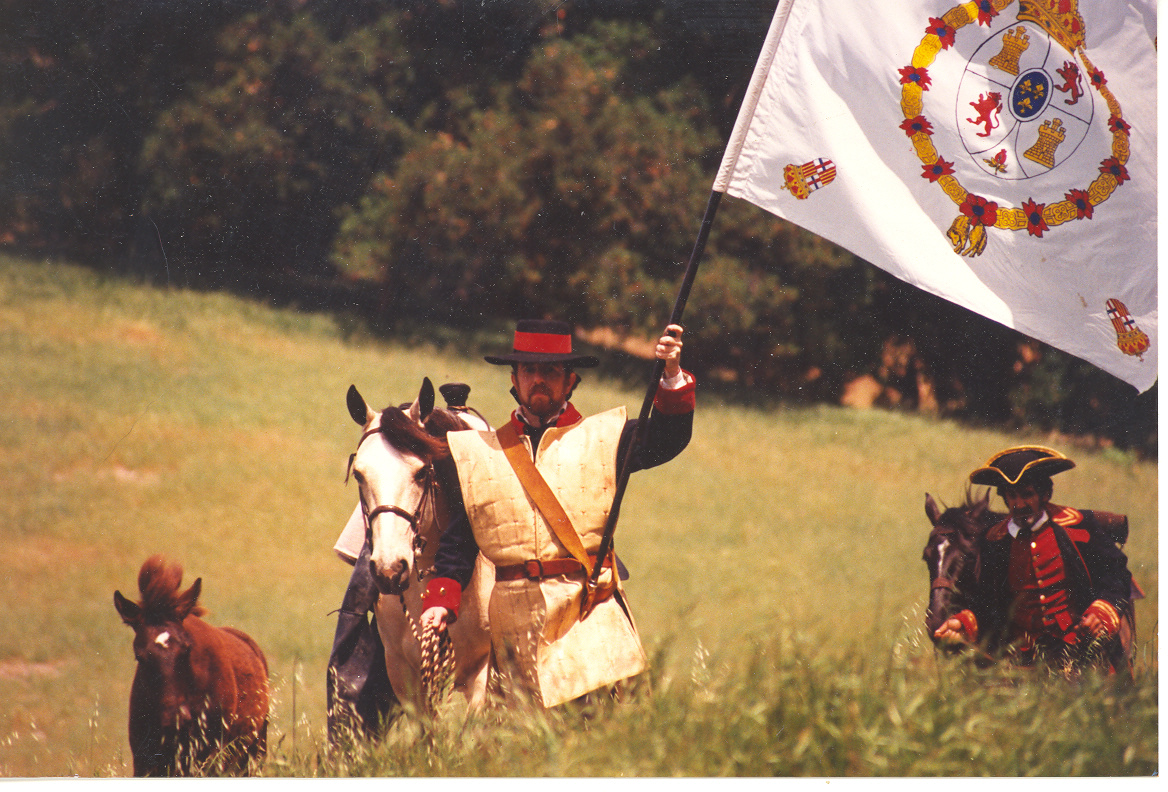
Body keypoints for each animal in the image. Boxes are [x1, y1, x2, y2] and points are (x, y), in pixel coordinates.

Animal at [113, 558, 268, 775]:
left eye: (187, 649)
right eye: (139, 656)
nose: (175, 719)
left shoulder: (212, 753)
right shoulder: (144, 758)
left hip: (255, 749)